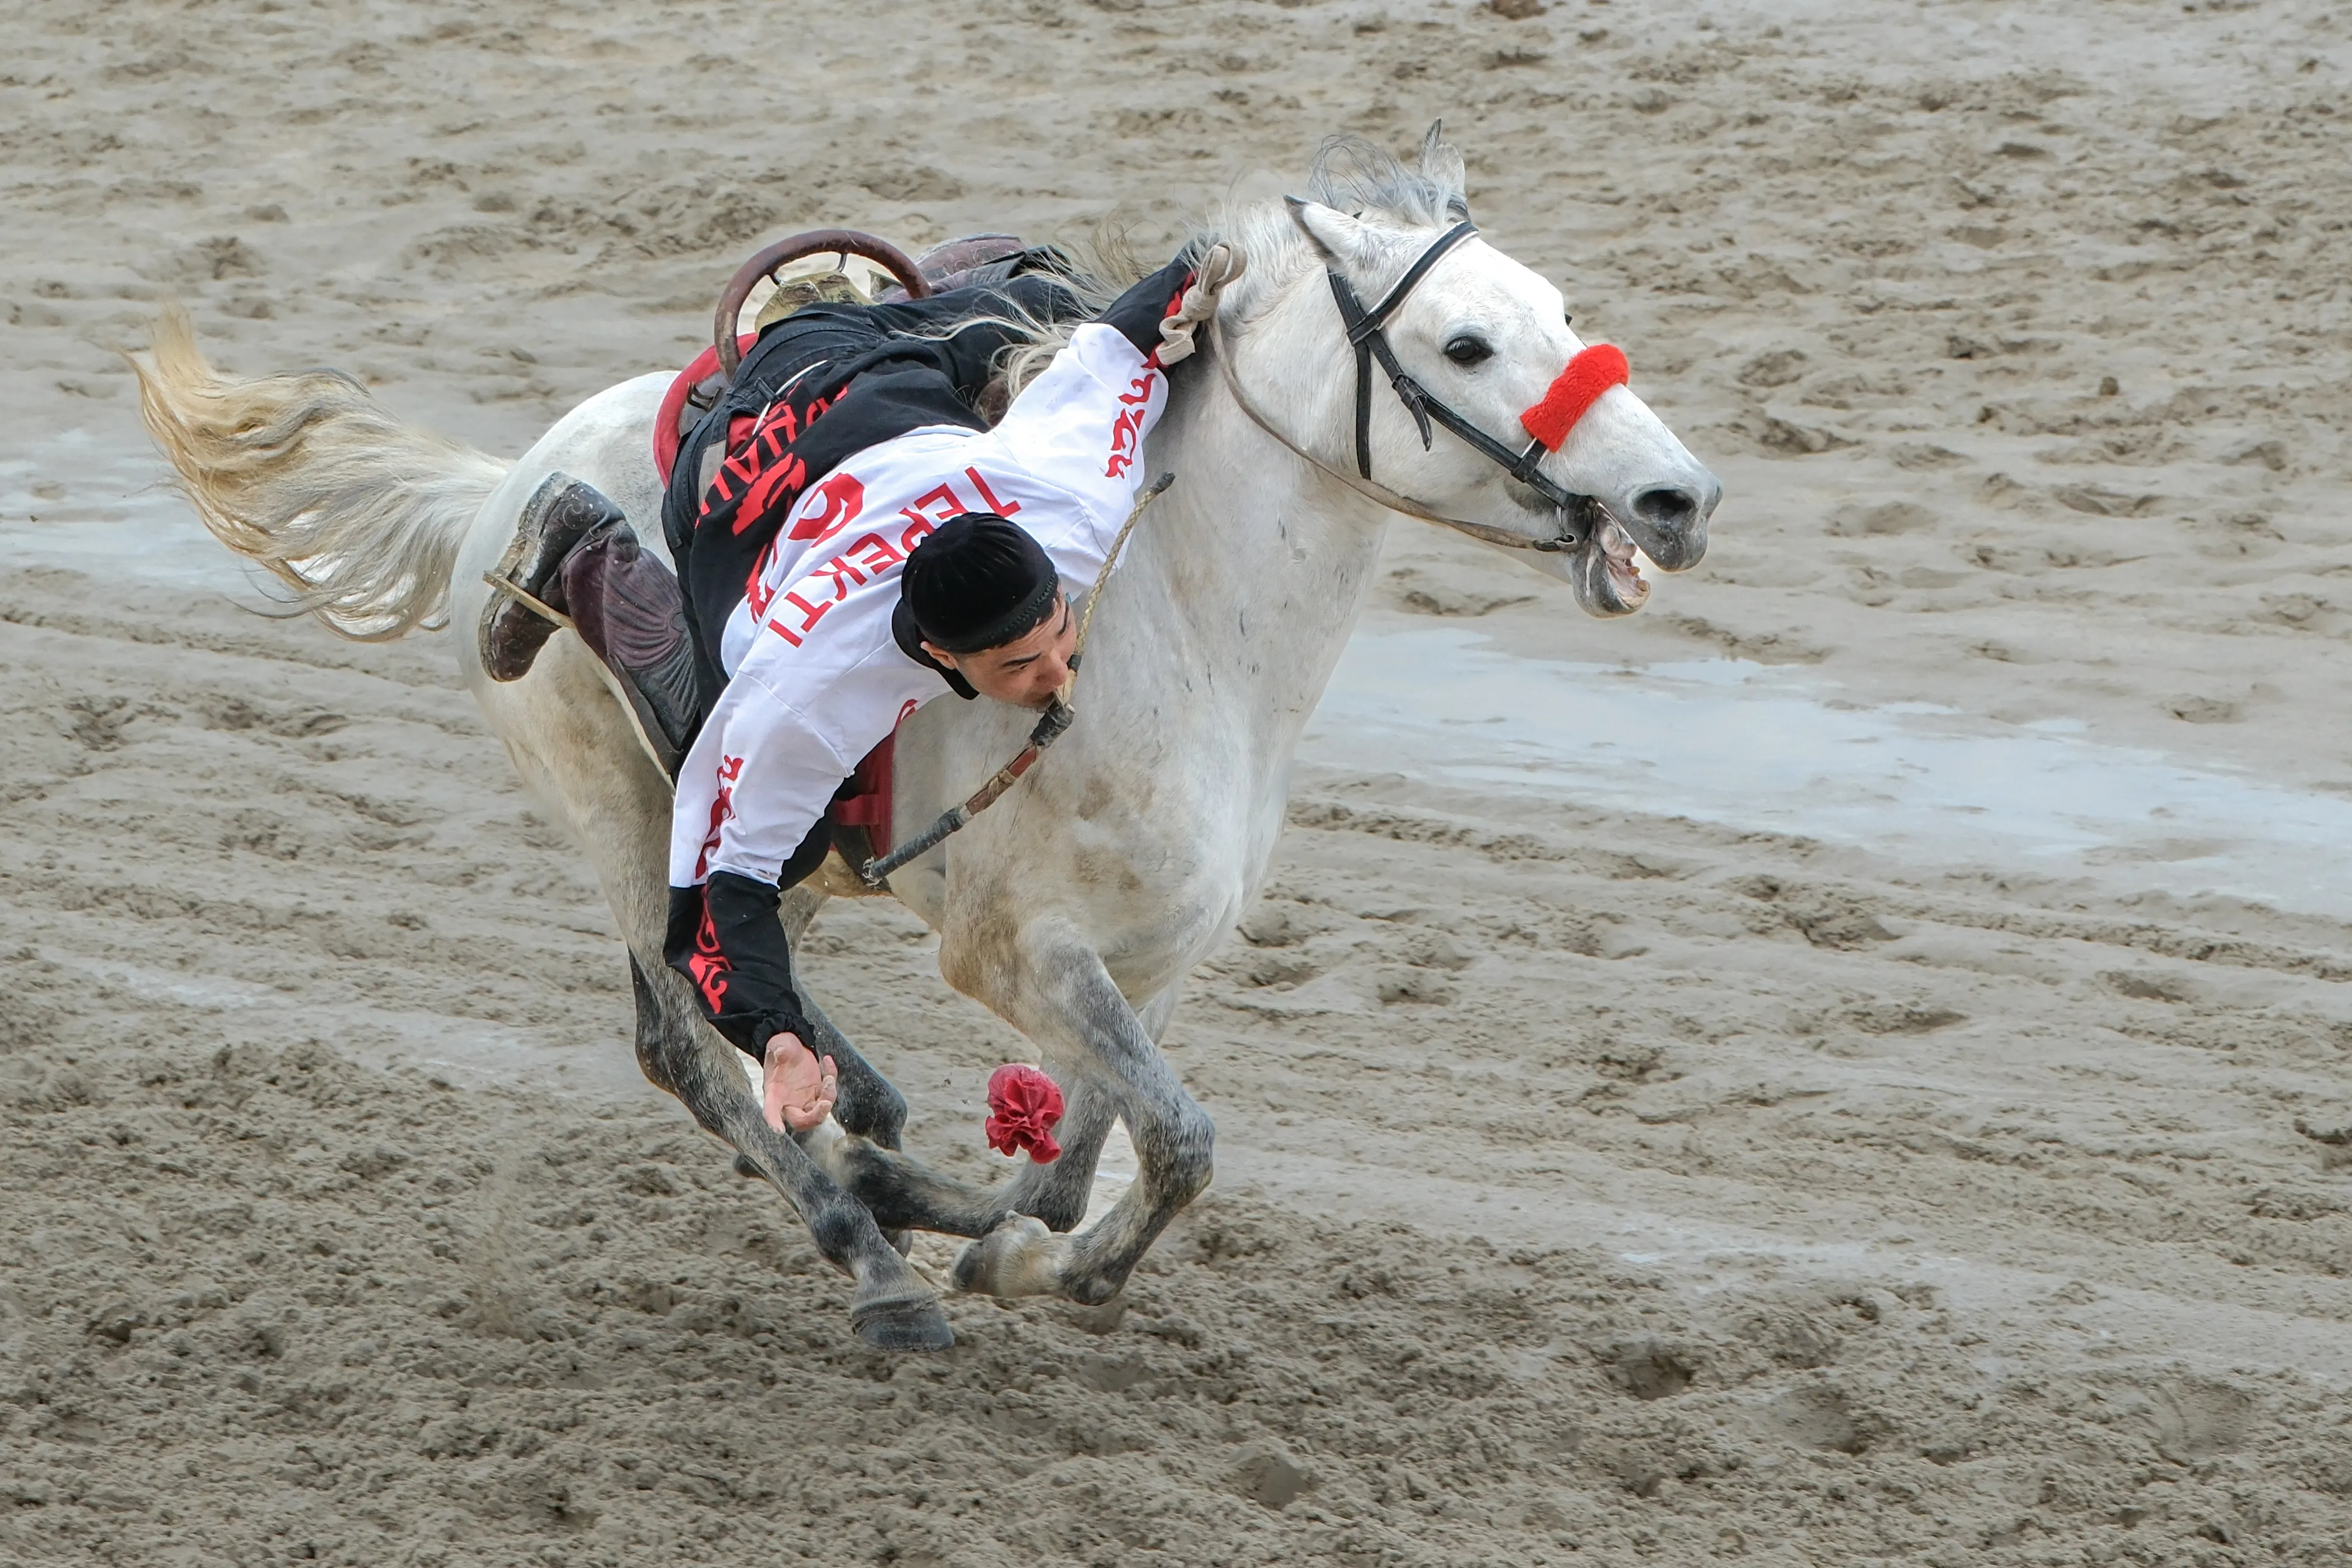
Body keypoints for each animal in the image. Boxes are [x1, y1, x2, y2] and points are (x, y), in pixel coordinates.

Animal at [137, 132, 1721, 1354]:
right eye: (1464, 342)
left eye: (1556, 309)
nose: (1676, 498)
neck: (1166, 633)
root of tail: (501, 490)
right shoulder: (1018, 952)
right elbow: (1176, 1146)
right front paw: (1005, 1255)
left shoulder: (1148, 961)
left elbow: (1084, 1155)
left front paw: (992, 1230)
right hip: (623, 810)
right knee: (695, 1038)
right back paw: (873, 1257)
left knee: (731, 1010)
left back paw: (877, 1142)